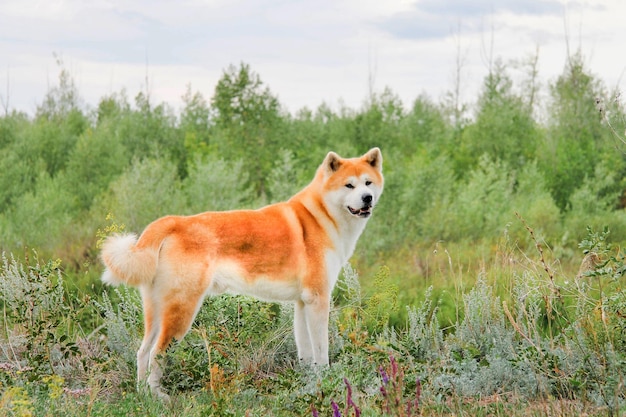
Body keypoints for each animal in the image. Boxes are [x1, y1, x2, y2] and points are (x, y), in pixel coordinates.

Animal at [100, 147, 382, 396]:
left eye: (368, 183)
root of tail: (173, 222)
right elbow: (322, 353)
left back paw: (142, 396)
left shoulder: (303, 303)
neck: (320, 217)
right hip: (181, 311)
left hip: (157, 311)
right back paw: (159, 397)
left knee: (142, 352)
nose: (367, 198)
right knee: (157, 354)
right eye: (349, 186)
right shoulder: (318, 299)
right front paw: (326, 382)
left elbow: (306, 352)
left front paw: (308, 382)